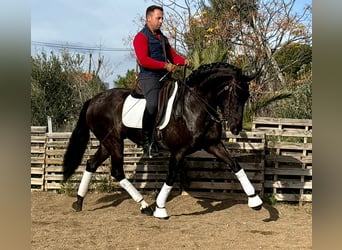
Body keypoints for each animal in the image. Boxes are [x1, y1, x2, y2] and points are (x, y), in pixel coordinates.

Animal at [62, 62, 264, 219]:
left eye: (246, 96)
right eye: (235, 94)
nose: (236, 128)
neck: (194, 104)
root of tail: (93, 100)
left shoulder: (212, 144)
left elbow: (235, 165)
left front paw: (255, 200)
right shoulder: (179, 150)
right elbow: (171, 176)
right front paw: (160, 208)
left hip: (107, 143)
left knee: (91, 164)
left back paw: (79, 202)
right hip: (114, 142)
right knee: (117, 172)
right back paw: (145, 206)